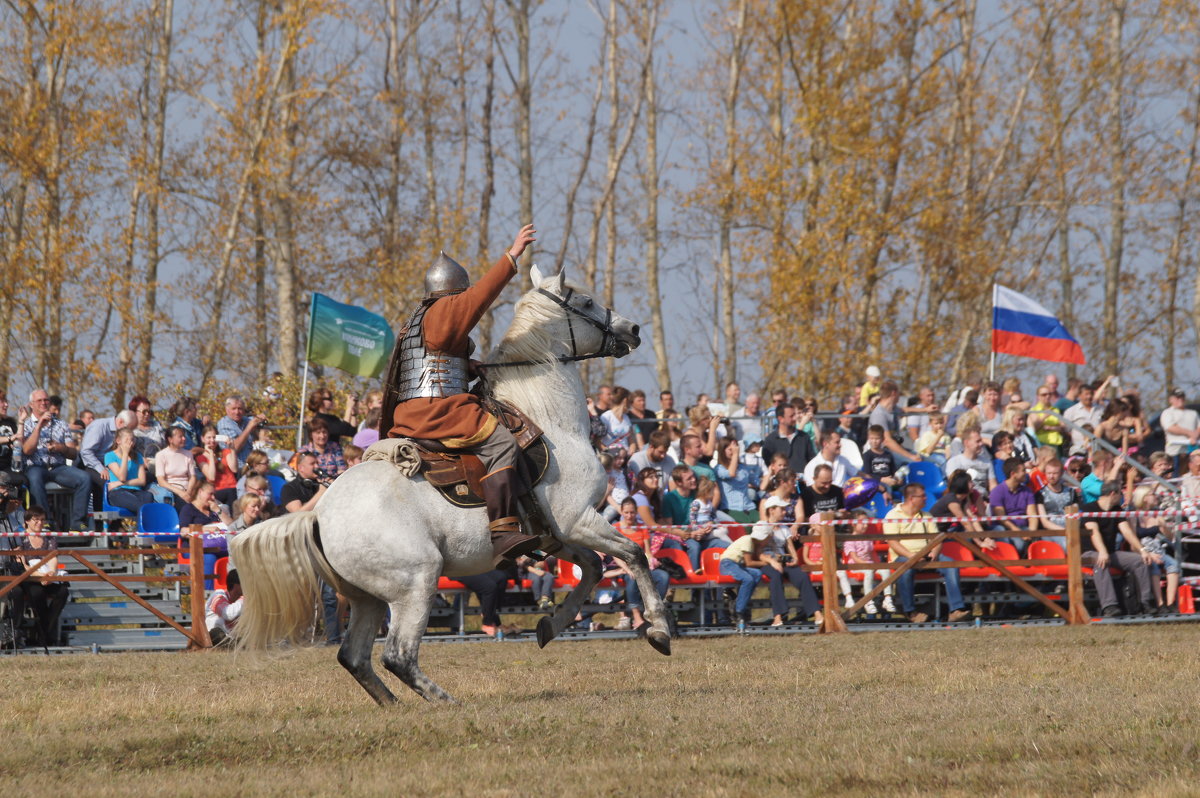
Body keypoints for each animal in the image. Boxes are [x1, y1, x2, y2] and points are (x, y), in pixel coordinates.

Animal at [229, 262, 672, 705]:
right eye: (586, 301)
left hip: (368, 598)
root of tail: (319, 515)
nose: (632, 329)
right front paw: (659, 630)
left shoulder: (555, 533)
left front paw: (551, 625)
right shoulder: (578, 520)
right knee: (397, 655)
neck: (550, 421)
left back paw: (395, 706)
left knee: (354, 656)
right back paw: (445, 702)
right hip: (417, 582)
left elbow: (593, 567)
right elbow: (633, 554)